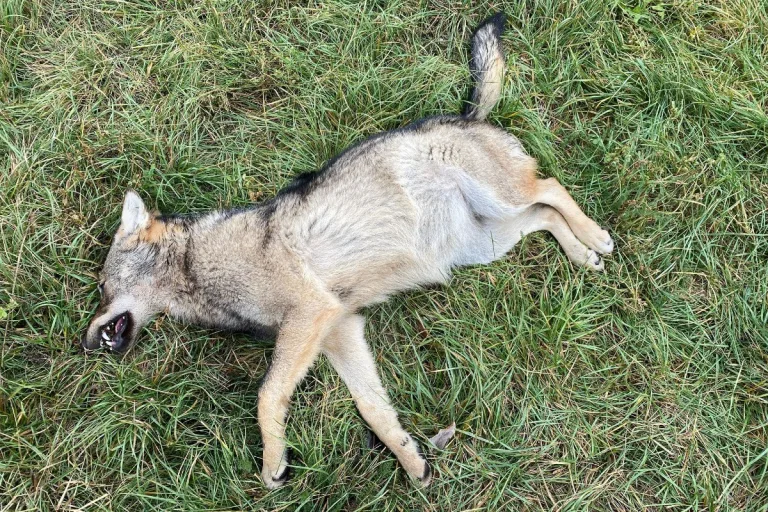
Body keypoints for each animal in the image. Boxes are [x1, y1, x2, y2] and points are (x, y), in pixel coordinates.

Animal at [82, 12, 613, 488]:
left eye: (103, 287)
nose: (84, 343)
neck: (201, 264)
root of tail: (464, 116)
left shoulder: (309, 314)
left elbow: (266, 396)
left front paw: (274, 460)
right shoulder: (339, 330)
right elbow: (373, 408)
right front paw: (411, 460)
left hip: (501, 201)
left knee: (551, 186)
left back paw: (596, 237)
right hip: (486, 242)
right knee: (544, 215)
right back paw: (582, 254)